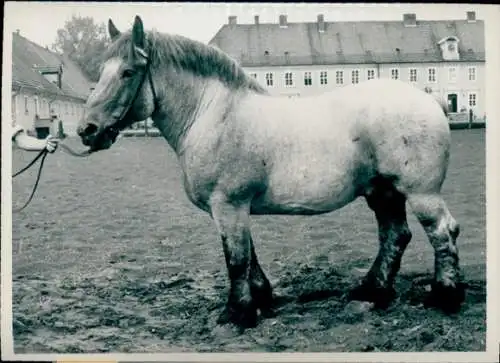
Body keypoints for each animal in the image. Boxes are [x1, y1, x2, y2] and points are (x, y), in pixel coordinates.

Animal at [77, 16, 464, 330]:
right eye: (101, 72)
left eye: (127, 72)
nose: (87, 130)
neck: (213, 115)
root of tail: (429, 100)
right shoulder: (232, 208)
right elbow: (248, 255)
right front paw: (261, 300)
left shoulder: (229, 205)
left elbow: (236, 258)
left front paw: (237, 314)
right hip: (383, 192)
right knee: (395, 236)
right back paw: (372, 292)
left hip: (420, 194)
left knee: (441, 232)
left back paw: (444, 296)